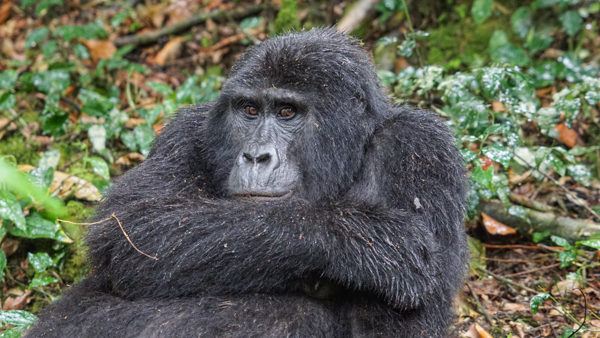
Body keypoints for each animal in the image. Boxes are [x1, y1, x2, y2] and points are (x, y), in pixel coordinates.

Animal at [27, 29, 468, 338]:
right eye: (250, 110)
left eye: (288, 111)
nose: (256, 156)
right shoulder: (187, 132)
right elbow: (135, 225)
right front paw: (363, 239)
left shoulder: (419, 146)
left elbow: (394, 322)